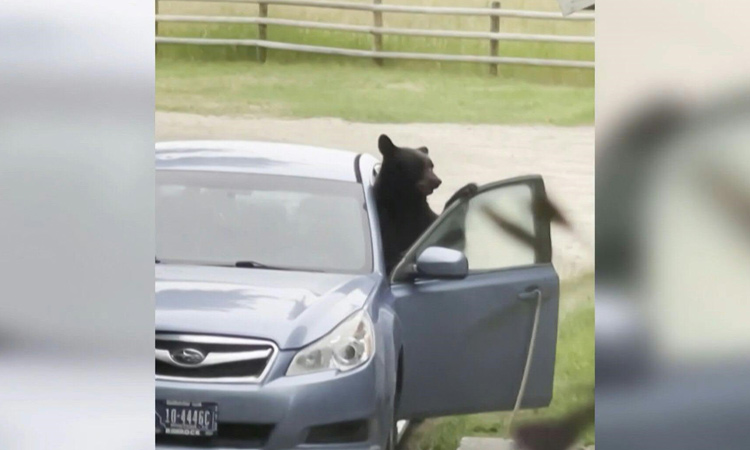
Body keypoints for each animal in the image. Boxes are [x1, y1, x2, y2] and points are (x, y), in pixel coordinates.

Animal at [374, 134, 478, 274]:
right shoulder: (385, 215)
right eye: (420, 164)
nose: (437, 181)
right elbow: (390, 249)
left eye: (431, 165)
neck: (406, 199)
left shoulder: (422, 214)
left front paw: (468, 188)